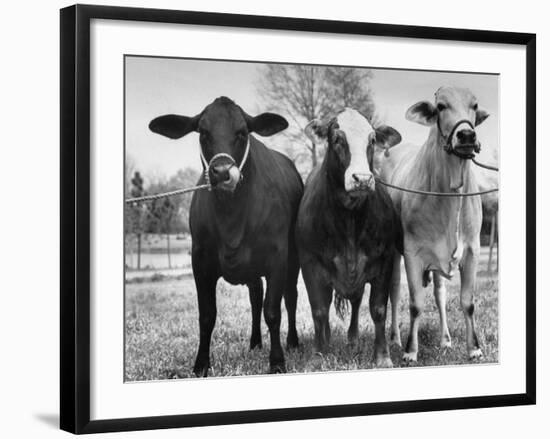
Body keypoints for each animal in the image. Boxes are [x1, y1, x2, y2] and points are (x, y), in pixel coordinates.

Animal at [149, 95, 304, 374]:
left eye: (242, 132)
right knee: (255, 297)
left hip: (293, 257)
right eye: (203, 132)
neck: (231, 218)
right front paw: (201, 364)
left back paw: (293, 341)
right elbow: (207, 315)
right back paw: (255, 343)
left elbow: (273, 311)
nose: (222, 172)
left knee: (290, 296)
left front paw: (277, 362)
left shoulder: (278, 257)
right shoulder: (200, 260)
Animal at [296, 109, 404, 368]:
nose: (362, 178)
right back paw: (327, 340)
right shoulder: (310, 263)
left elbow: (378, 309)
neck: (349, 219)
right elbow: (319, 310)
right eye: (337, 139)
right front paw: (318, 356)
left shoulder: (384, 261)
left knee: (356, 302)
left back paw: (353, 339)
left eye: (372, 140)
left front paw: (382, 357)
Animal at [382, 87, 494, 364]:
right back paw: (395, 339)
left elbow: (467, 302)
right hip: (393, 253)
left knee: (440, 293)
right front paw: (411, 351)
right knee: (394, 291)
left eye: (475, 105)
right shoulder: (412, 253)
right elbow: (415, 304)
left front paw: (474, 348)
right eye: (441, 106)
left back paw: (445, 339)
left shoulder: (472, 250)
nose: (466, 135)